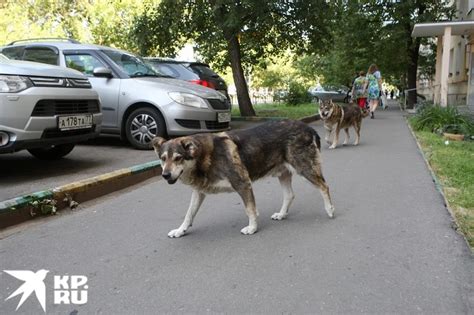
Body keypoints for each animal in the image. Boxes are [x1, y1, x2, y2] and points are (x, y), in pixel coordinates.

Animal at [154, 119, 336, 238]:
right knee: (290, 195)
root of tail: (308, 127)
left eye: (178, 158)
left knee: (324, 186)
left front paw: (252, 228)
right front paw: (180, 230)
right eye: (163, 159)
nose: (165, 175)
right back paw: (282, 214)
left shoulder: (243, 184)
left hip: (305, 170)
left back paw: (330, 210)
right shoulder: (199, 192)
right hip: (283, 174)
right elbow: (189, 214)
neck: (204, 157)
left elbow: (250, 209)